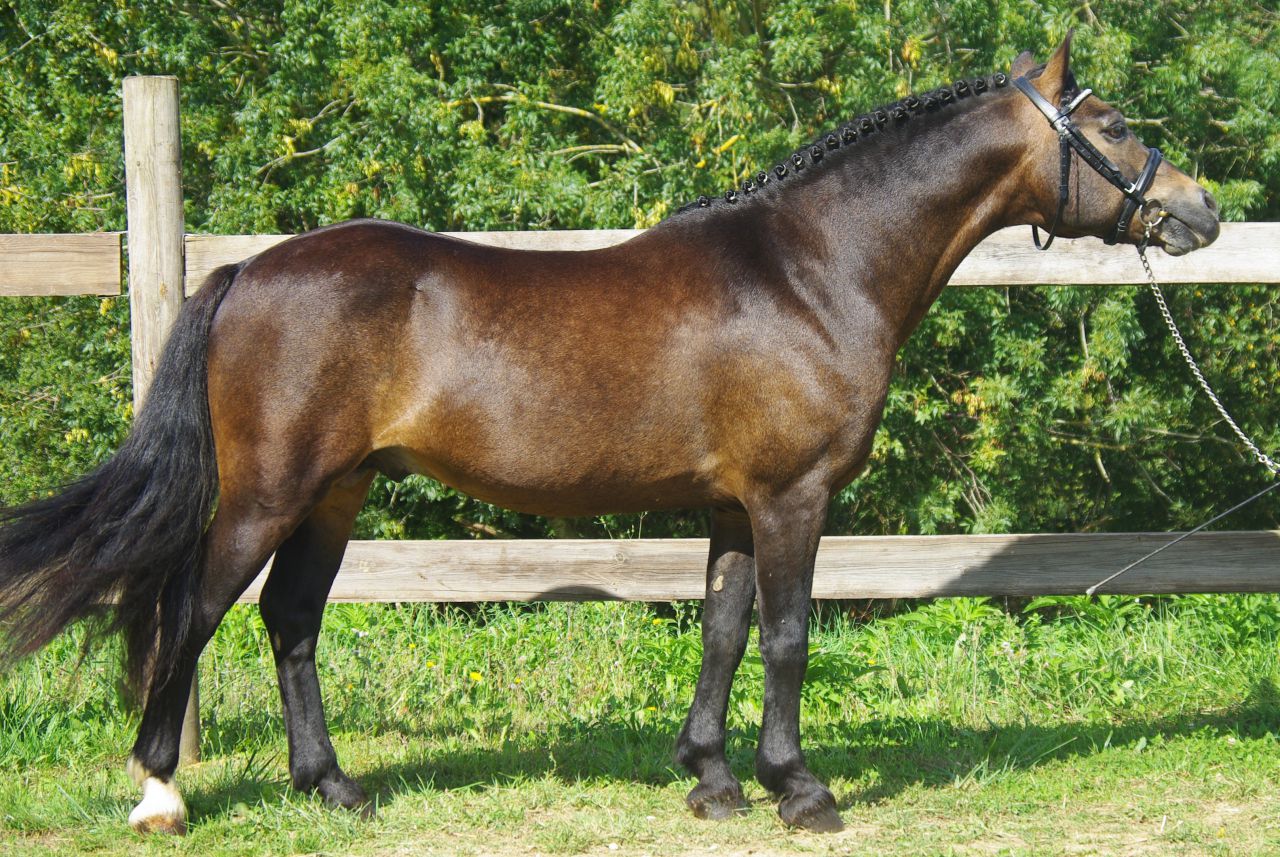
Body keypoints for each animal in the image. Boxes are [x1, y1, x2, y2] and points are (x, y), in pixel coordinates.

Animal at [0, 35, 1219, 835]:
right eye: (1114, 128)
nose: (1199, 212)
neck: (810, 269)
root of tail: (249, 269)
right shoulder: (793, 496)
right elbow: (786, 637)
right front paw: (801, 789)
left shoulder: (735, 503)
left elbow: (722, 632)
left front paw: (712, 778)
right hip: (266, 492)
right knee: (190, 610)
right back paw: (161, 791)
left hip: (337, 491)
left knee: (290, 621)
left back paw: (335, 786)